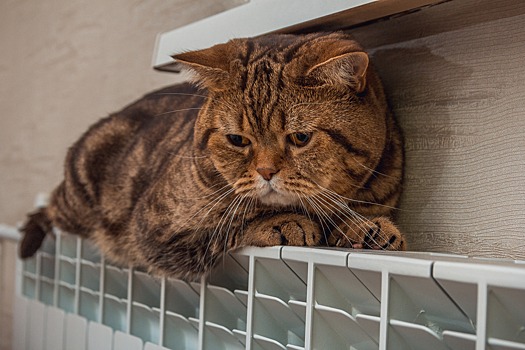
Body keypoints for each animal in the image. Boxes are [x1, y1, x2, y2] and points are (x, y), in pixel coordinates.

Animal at [18, 32, 406, 278]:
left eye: (300, 137)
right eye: (237, 139)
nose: (266, 172)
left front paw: (367, 228)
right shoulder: (158, 231)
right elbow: (230, 225)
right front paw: (285, 222)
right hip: (76, 200)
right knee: (47, 209)